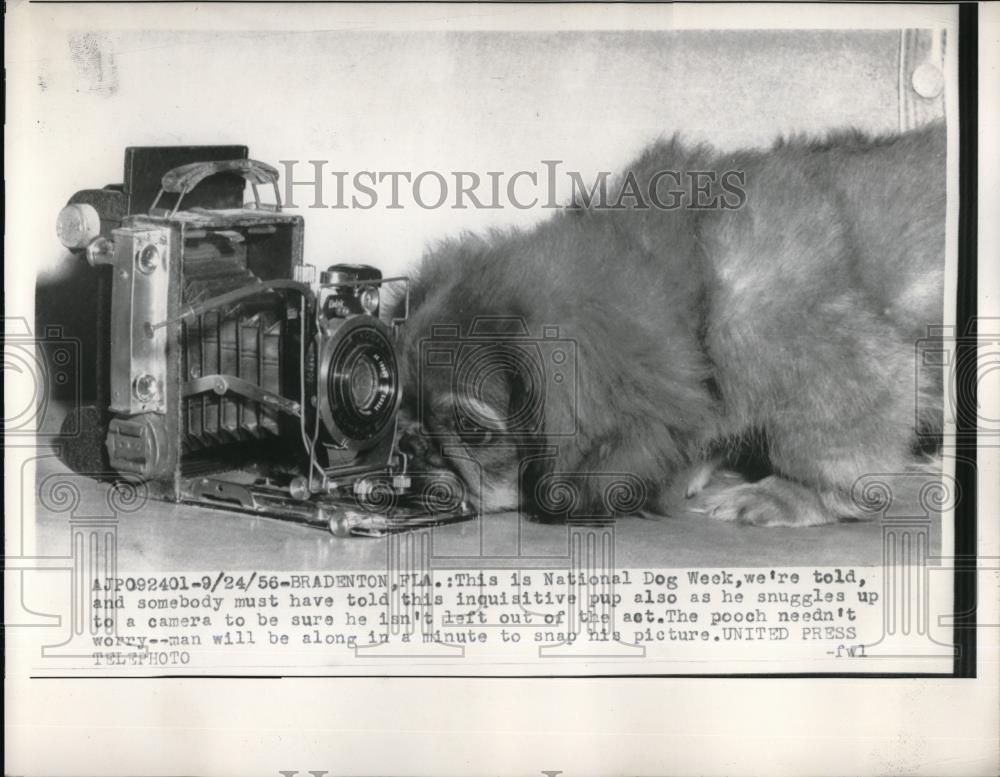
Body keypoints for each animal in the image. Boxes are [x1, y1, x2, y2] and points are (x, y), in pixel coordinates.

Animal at [390, 121, 944, 528]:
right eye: (404, 402)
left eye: (471, 430)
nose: (412, 443)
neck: (695, 291)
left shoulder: (832, 363)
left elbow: (829, 454)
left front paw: (789, 495)